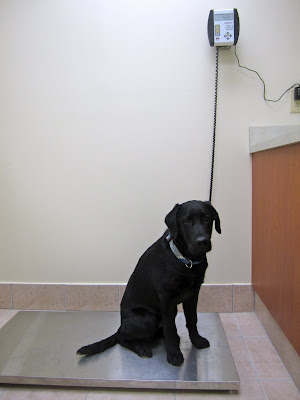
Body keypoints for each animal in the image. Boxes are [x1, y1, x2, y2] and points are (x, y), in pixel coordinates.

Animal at [78, 200, 220, 366]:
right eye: (186, 221)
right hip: (148, 318)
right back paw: (142, 349)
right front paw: (174, 354)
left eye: (207, 218)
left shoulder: (193, 294)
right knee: (122, 338)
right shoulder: (167, 299)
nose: (202, 241)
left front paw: (197, 340)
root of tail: (121, 325)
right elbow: (170, 327)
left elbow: (192, 319)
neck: (186, 260)